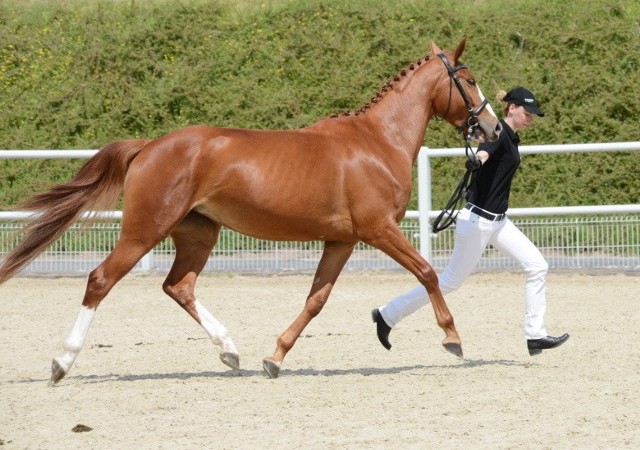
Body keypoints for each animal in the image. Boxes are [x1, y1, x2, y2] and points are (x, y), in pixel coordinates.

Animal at [0, 39, 500, 384]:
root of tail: (149, 145)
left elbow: (315, 300)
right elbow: (428, 273)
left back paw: (230, 351)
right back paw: (61, 362)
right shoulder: (378, 230)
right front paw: (453, 340)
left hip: (198, 234)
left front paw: (274, 358)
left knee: (178, 286)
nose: (493, 128)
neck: (377, 142)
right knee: (101, 280)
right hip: (145, 231)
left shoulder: (342, 240)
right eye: (469, 78)